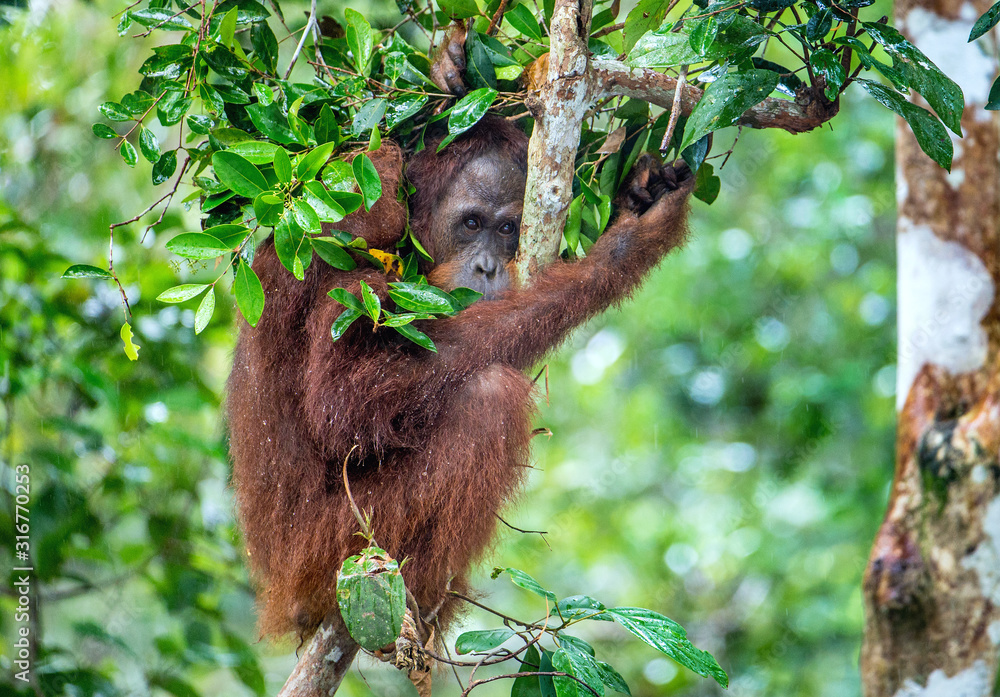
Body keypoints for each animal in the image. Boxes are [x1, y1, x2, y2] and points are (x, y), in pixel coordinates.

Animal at [226, 114, 695, 640]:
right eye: (471, 223)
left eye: (508, 228)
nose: (487, 267)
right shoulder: (354, 254)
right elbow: (343, 404)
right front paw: (629, 247)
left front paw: (638, 198)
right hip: (336, 546)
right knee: (487, 398)